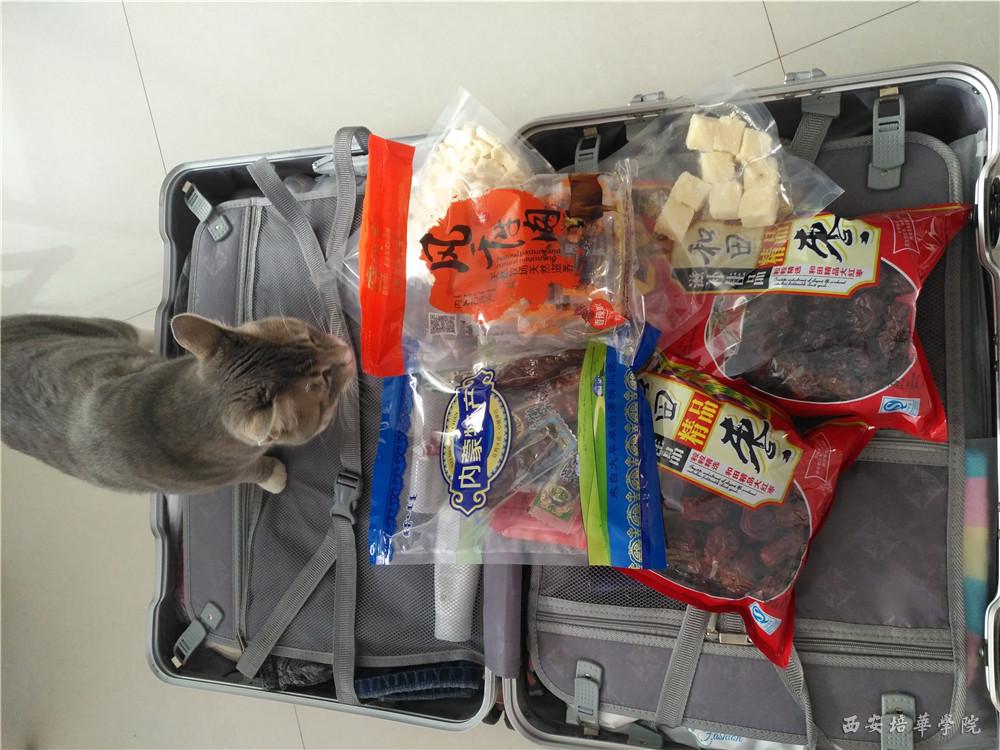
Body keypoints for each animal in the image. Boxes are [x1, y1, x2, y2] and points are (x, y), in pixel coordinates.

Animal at [0, 313, 355, 495]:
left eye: (309, 336)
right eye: (325, 382)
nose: (349, 352)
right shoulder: (214, 477)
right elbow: (251, 469)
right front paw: (274, 476)